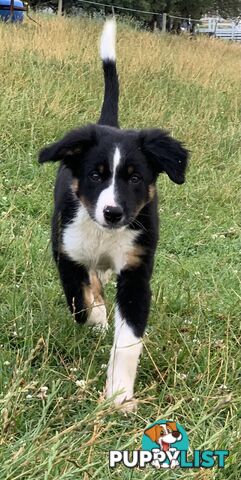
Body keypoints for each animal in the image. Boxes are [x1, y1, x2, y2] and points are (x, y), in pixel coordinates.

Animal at [38, 18, 188, 408]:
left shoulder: (136, 273)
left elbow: (129, 341)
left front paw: (119, 395)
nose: (114, 213)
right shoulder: (66, 252)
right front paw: (95, 320)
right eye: (96, 175)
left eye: (135, 178)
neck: (104, 234)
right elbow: (79, 299)